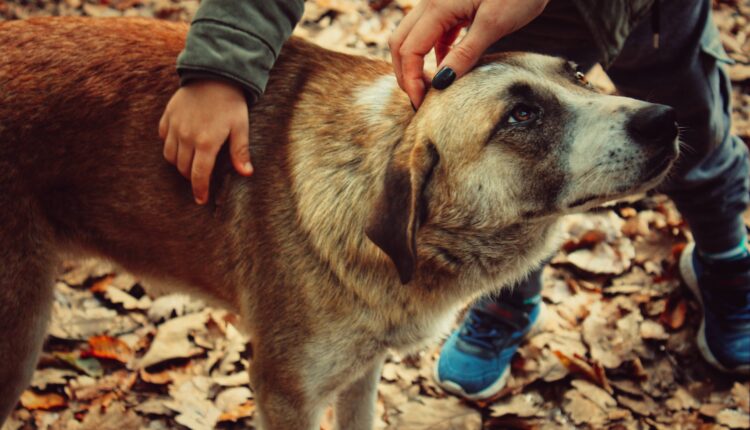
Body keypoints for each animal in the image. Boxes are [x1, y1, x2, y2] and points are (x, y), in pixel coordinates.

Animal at [1, 16, 680, 430]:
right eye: (521, 115)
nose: (665, 119)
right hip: (20, 332)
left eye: (578, 74)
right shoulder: (284, 388)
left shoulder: (361, 373)